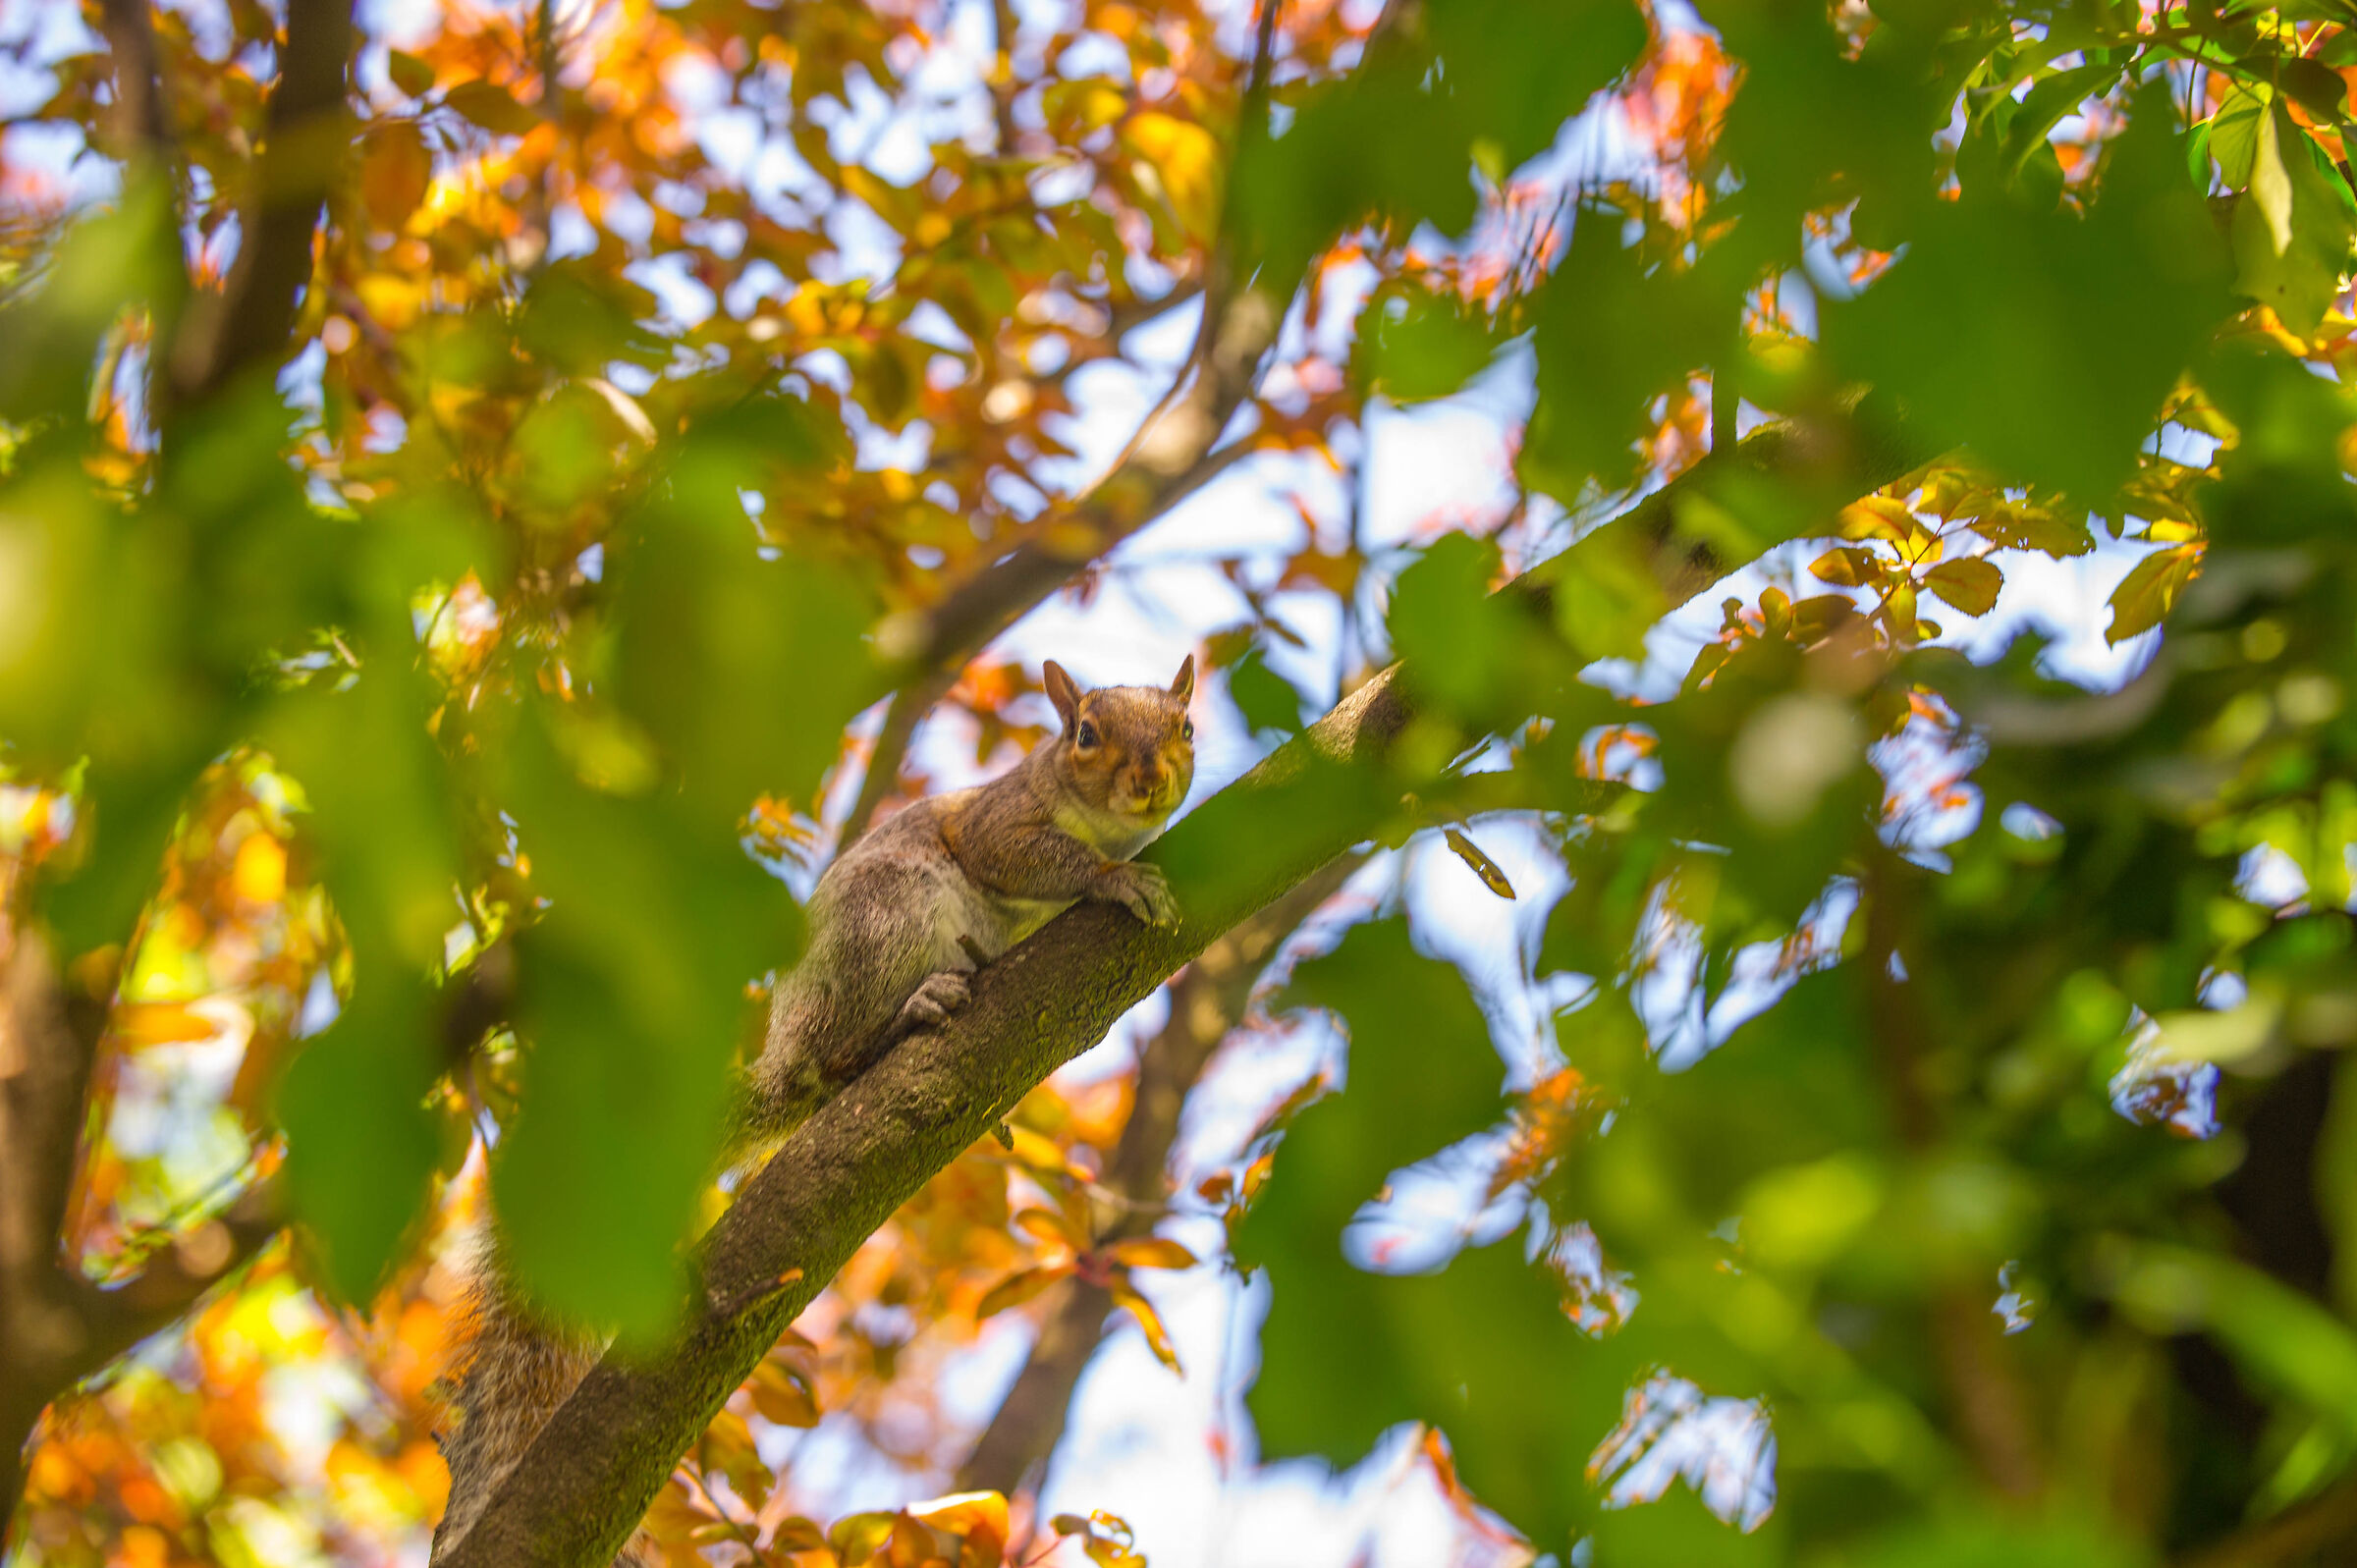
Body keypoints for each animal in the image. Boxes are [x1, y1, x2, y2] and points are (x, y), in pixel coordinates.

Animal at [431, 657, 1198, 1567]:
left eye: (1186, 727)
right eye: (1084, 732)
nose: (1149, 780)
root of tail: (786, 1042)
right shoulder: (995, 822)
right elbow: (1024, 854)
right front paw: (1113, 878)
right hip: (888, 918)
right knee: (832, 1060)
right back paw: (906, 1017)